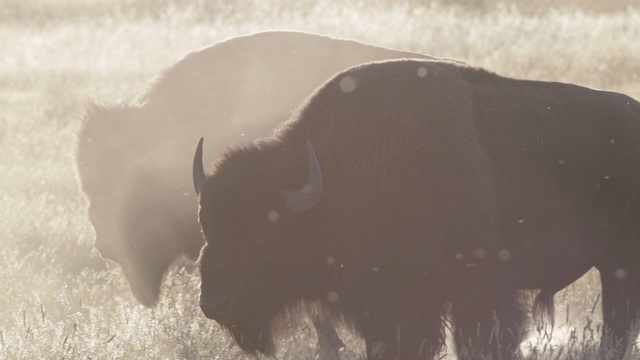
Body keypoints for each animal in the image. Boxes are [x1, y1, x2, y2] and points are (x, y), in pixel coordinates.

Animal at [194, 57, 640, 358]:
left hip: (620, 267)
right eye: (207, 225)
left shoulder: (475, 293)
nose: (215, 304)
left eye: (265, 228)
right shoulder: (392, 308)